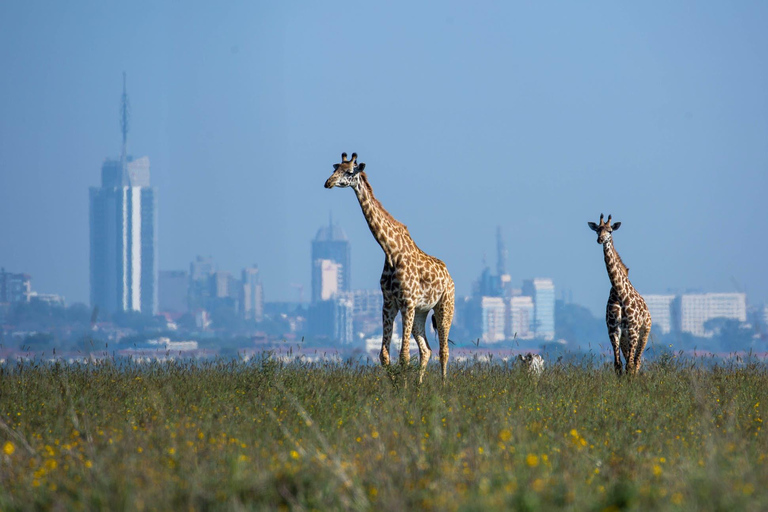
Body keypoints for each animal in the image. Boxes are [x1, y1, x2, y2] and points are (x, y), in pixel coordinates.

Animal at [324, 152, 456, 384]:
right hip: (421, 312)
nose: (328, 182)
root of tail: (449, 277)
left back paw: (443, 385)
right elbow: (384, 356)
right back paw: (420, 385)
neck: (391, 251)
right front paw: (396, 387)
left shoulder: (407, 303)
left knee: (443, 351)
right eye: (335, 168)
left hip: (444, 306)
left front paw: (403, 389)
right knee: (427, 350)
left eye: (348, 172)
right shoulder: (389, 304)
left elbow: (403, 356)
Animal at [588, 214, 656, 374]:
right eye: (597, 230)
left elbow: (630, 365)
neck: (619, 292)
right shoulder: (613, 330)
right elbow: (618, 365)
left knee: (636, 362)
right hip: (625, 339)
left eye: (610, 230)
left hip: (643, 334)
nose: (600, 239)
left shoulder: (632, 329)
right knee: (629, 361)